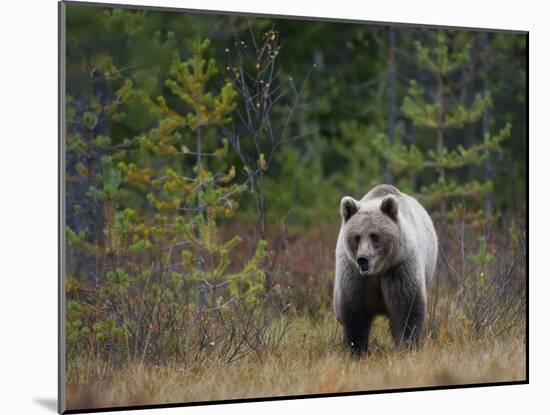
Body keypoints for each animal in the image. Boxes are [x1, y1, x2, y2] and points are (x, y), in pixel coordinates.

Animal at [332, 184, 440, 354]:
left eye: (375, 235)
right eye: (357, 236)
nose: (363, 259)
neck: (379, 271)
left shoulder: (400, 268)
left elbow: (406, 308)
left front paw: (407, 345)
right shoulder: (355, 275)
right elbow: (355, 312)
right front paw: (358, 349)